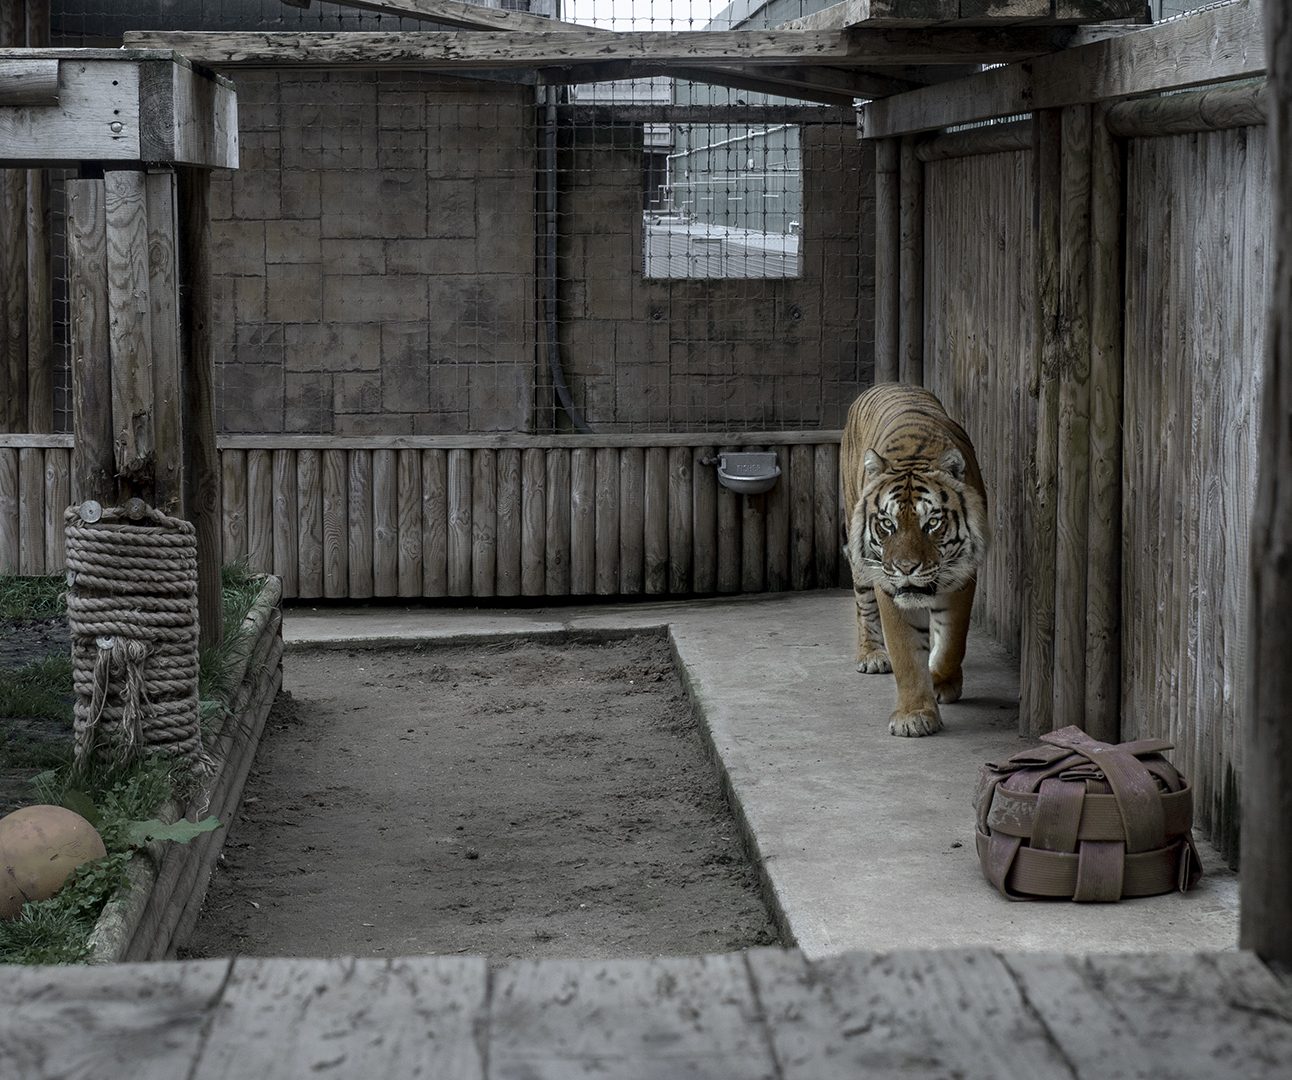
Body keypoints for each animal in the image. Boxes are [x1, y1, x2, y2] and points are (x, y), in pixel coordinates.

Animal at [837, 379, 987, 733]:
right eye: (887, 524)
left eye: (931, 523)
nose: (906, 568)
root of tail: (886, 383)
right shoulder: (890, 586)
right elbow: (905, 651)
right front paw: (914, 715)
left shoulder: (963, 576)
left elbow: (952, 639)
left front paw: (943, 681)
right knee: (864, 605)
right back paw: (872, 655)